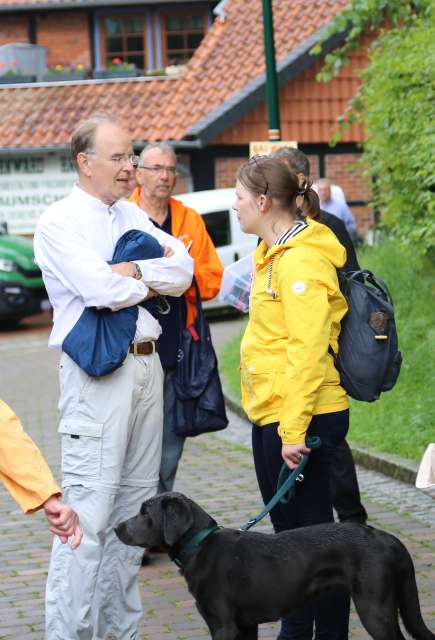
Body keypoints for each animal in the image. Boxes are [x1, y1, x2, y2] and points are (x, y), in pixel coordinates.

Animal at [116, 496, 435, 640]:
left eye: (145, 513)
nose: (117, 527)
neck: (200, 544)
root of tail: (388, 538)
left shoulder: (222, 625)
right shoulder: (245, 625)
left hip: (375, 609)